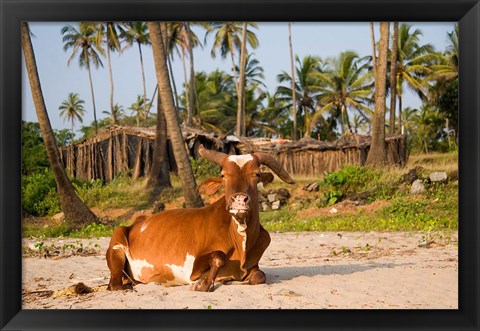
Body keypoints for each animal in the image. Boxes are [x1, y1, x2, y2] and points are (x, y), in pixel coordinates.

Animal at [106, 146, 294, 294]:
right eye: (223, 175)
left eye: (256, 174)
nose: (239, 200)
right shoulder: (193, 266)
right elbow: (218, 257)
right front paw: (203, 283)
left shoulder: (254, 266)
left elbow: (259, 277)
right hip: (117, 244)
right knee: (114, 284)